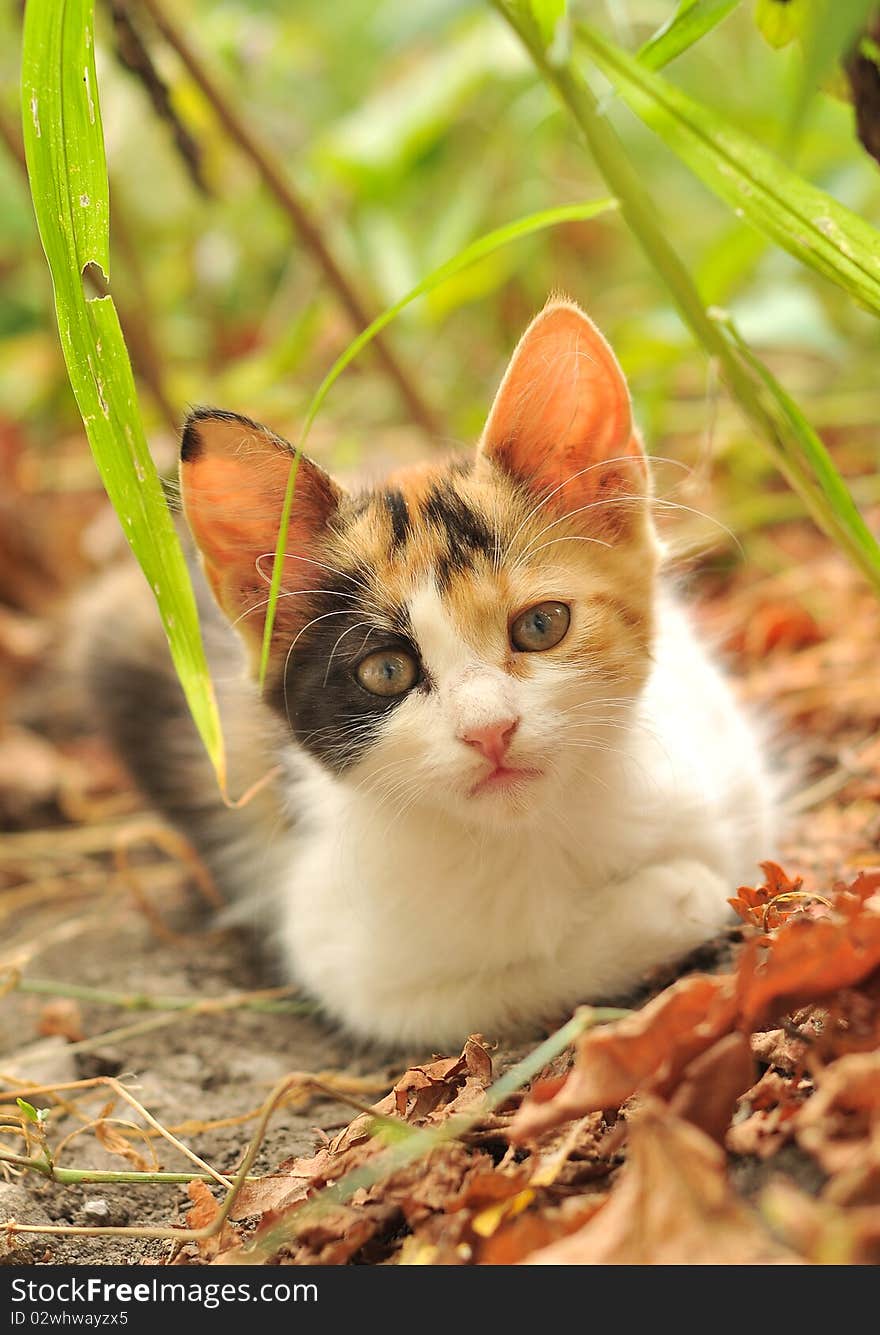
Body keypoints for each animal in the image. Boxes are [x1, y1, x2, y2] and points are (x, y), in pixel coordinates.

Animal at [86, 300, 774, 1041]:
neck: (536, 832)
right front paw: (671, 894)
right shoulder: (356, 964)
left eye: (541, 625)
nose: (490, 731)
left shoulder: (735, 771)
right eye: (386, 671)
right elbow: (515, 978)